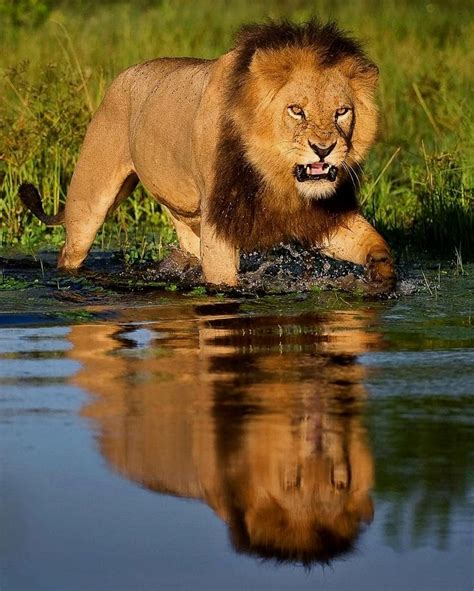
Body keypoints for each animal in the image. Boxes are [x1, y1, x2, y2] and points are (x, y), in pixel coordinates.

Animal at [18, 20, 396, 292]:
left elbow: (375, 243)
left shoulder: (322, 216)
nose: (323, 148)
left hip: (184, 215)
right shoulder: (220, 219)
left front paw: (383, 277)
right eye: (296, 110)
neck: (276, 175)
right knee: (71, 250)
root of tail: (123, 75)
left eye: (342, 112)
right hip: (89, 203)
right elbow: (224, 282)